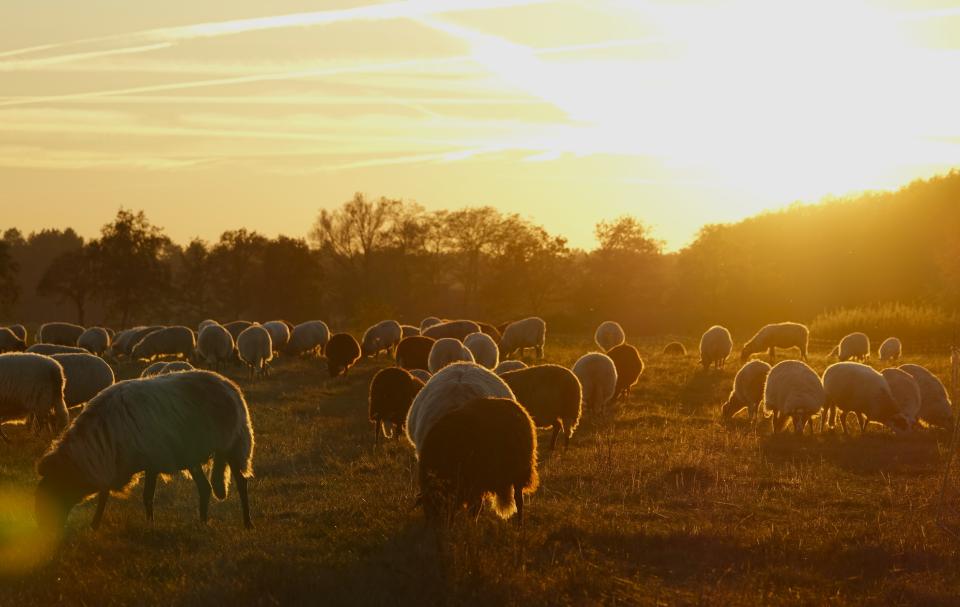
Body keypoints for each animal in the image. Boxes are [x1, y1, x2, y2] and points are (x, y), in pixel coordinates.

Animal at [35, 370, 254, 530]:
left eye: (54, 491)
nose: (47, 531)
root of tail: (228, 384)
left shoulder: (152, 461)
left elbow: (147, 497)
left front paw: (150, 525)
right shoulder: (117, 463)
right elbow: (106, 494)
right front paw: (95, 525)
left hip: (235, 444)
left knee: (241, 483)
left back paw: (247, 523)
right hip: (195, 455)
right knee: (205, 487)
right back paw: (202, 523)